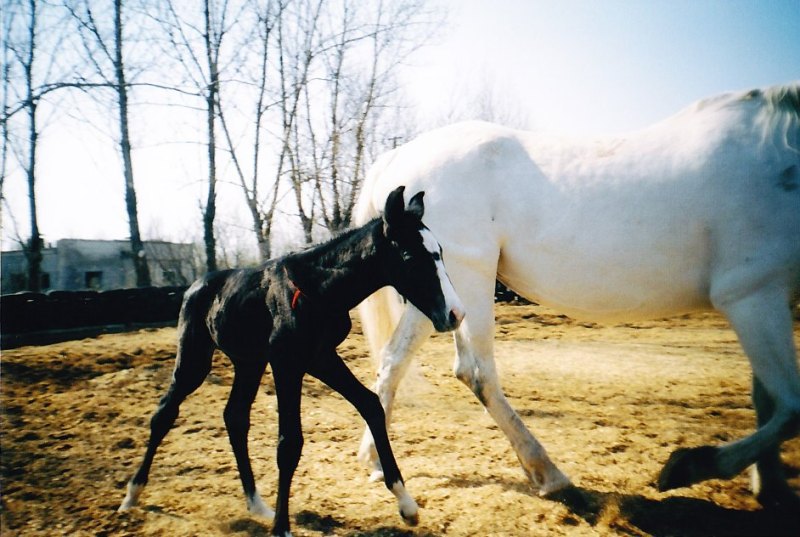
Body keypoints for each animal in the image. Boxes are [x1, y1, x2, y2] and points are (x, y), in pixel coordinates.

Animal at [121, 186, 466, 536]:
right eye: (410, 256)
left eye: (439, 252)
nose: (455, 314)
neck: (317, 289)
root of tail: (195, 286)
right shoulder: (287, 363)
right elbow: (289, 443)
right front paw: (282, 528)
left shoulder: (320, 358)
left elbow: (370, 404)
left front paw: (406, 505)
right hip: (195, 359)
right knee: (164, 413)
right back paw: (131, 495)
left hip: (248, 363)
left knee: (235, 417)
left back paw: (257, 504)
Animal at [356, 84, 800, 510]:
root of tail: (399, 157)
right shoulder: (752, 295)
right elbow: (789, 407)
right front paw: (686, 467)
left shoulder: (764, 301)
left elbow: (767, 401)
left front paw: (770, 487)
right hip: (469, 279)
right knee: (477, 373)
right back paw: (551, 475)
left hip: (439, 296)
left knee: (394, 361)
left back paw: (376, 462)